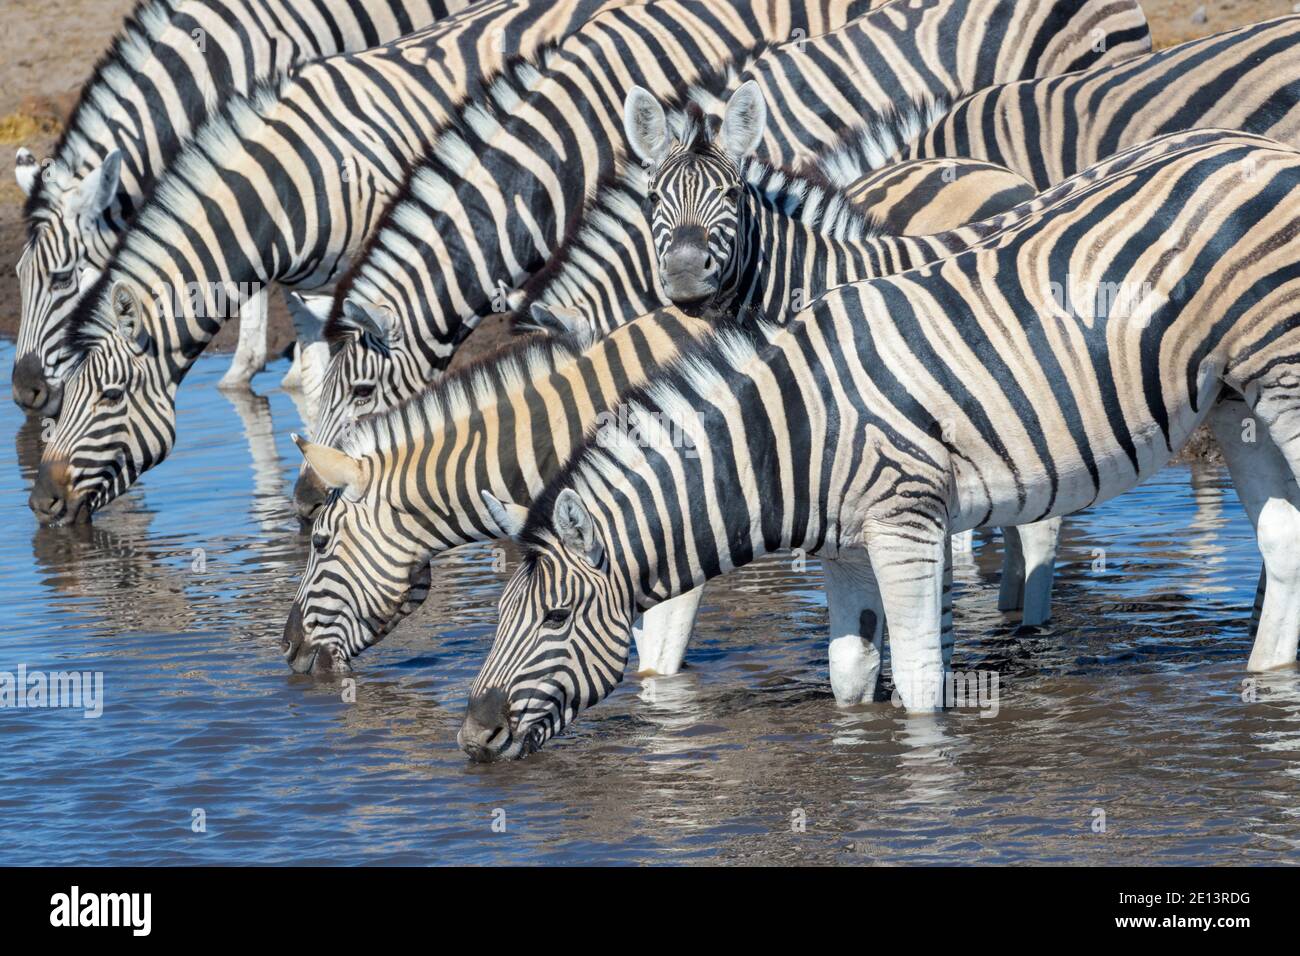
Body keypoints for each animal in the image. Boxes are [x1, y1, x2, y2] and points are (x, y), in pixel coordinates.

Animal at [458, 129, 1300, 759]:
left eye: (556, 619)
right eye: (499, 615)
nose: (473, 735)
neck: (795, 430)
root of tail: (1262, 142)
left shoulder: (907, 526)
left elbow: (922, 683)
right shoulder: (846, 551)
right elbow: (851, 677)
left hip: (1282, 374)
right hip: (1236, 399)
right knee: (1283, 540)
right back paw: (1265, 678)